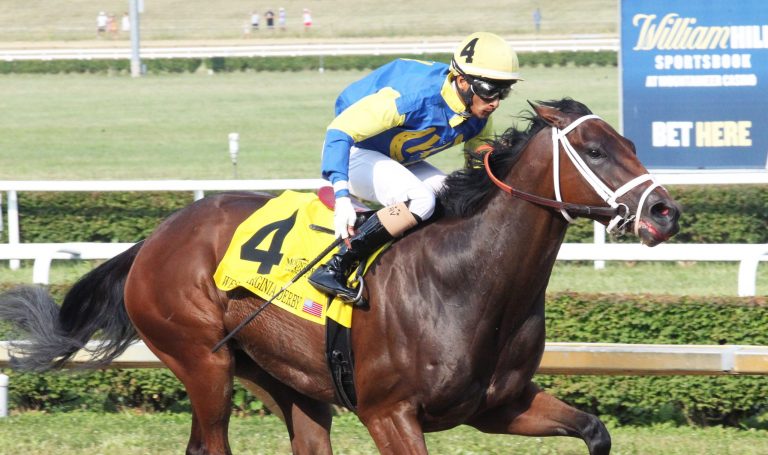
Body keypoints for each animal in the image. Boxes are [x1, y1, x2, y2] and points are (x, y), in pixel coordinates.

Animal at [0, 98, 680, 455]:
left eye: (629, 142)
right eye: (594, 151)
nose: (665, 212)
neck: (468, 280)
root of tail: (154, 239)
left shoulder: (499, 405)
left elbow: (594, 431)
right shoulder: (391, 413)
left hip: (288, 380)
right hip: (203, 361)